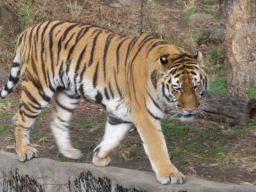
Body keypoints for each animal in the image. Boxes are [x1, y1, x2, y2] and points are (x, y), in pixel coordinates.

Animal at [0, 19, 207, 184]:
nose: (190, 110)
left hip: (68, 93)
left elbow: (112, 137)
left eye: (196, 86)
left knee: (57, 120)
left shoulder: (122, 113)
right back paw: (23, 151)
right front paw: (170, 174)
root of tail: (28, 30)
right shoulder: (145, 115)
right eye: (178, 88)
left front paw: (98, 156)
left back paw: (69, 151)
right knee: (20, 118)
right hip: (38, 87)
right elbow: (157, 146)